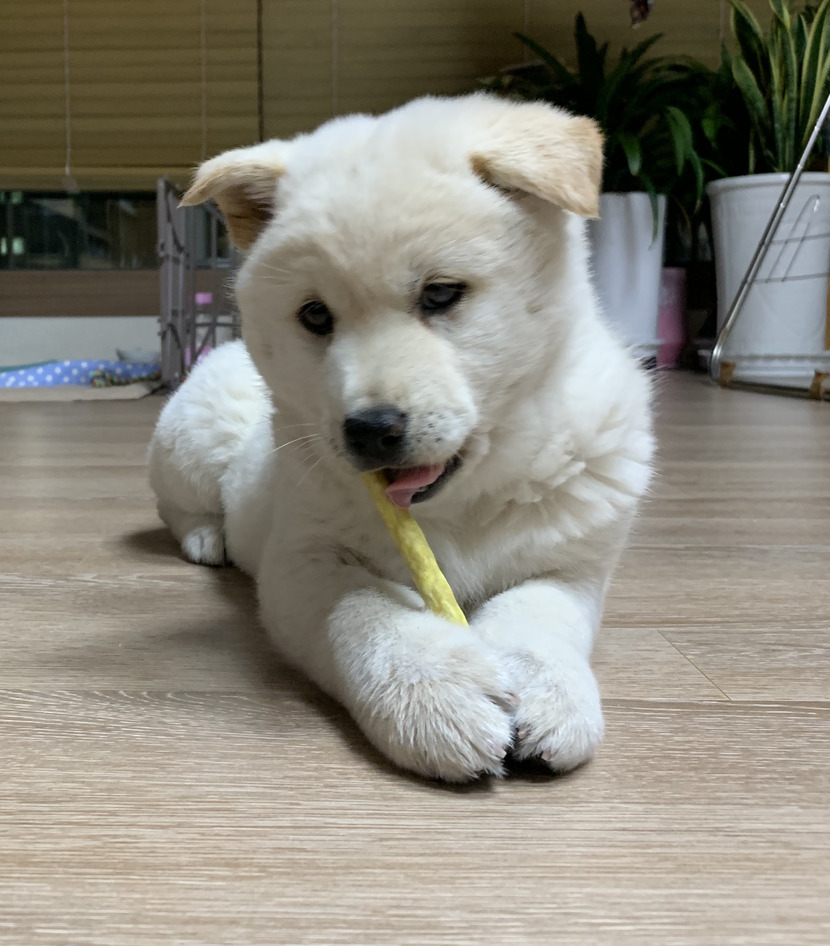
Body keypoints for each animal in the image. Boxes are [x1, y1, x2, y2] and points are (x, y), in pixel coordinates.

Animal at [149, 94, 654, 782]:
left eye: (441, 293)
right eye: (315, 315)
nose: (369, 430)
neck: (462, 504)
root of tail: (214, 349)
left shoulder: (572, 567)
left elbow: (539, 615)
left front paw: (547, 692)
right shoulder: (303, 558)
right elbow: (362, 610)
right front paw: (436, 690)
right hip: (190, 440)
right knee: (178, 506)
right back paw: (208, 537)